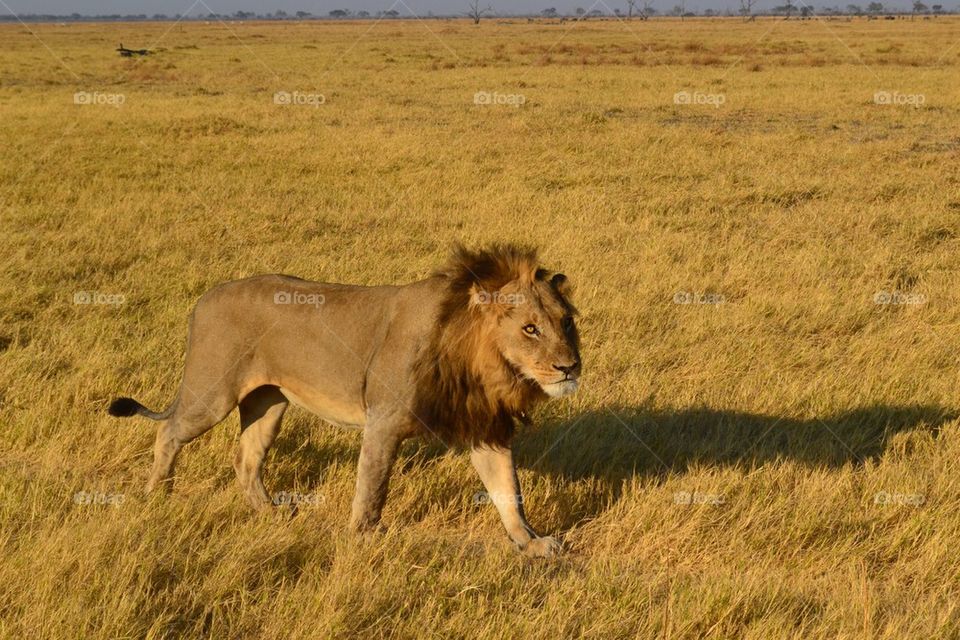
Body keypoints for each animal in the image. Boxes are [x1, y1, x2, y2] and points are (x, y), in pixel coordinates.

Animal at [108, 244, 581, 556]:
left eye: (566, 323)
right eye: (530, 329)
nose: (570, 367)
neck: (484, 366)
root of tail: (204, 298)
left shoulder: (486, 428)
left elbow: (508, 492)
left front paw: (532, 544)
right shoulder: (383, 421)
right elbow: (372, 488)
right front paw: (364, 539)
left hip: (268, 403)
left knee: (246, 459)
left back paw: (271, 514)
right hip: (211, 395)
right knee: (169, 432)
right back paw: (157, 496)